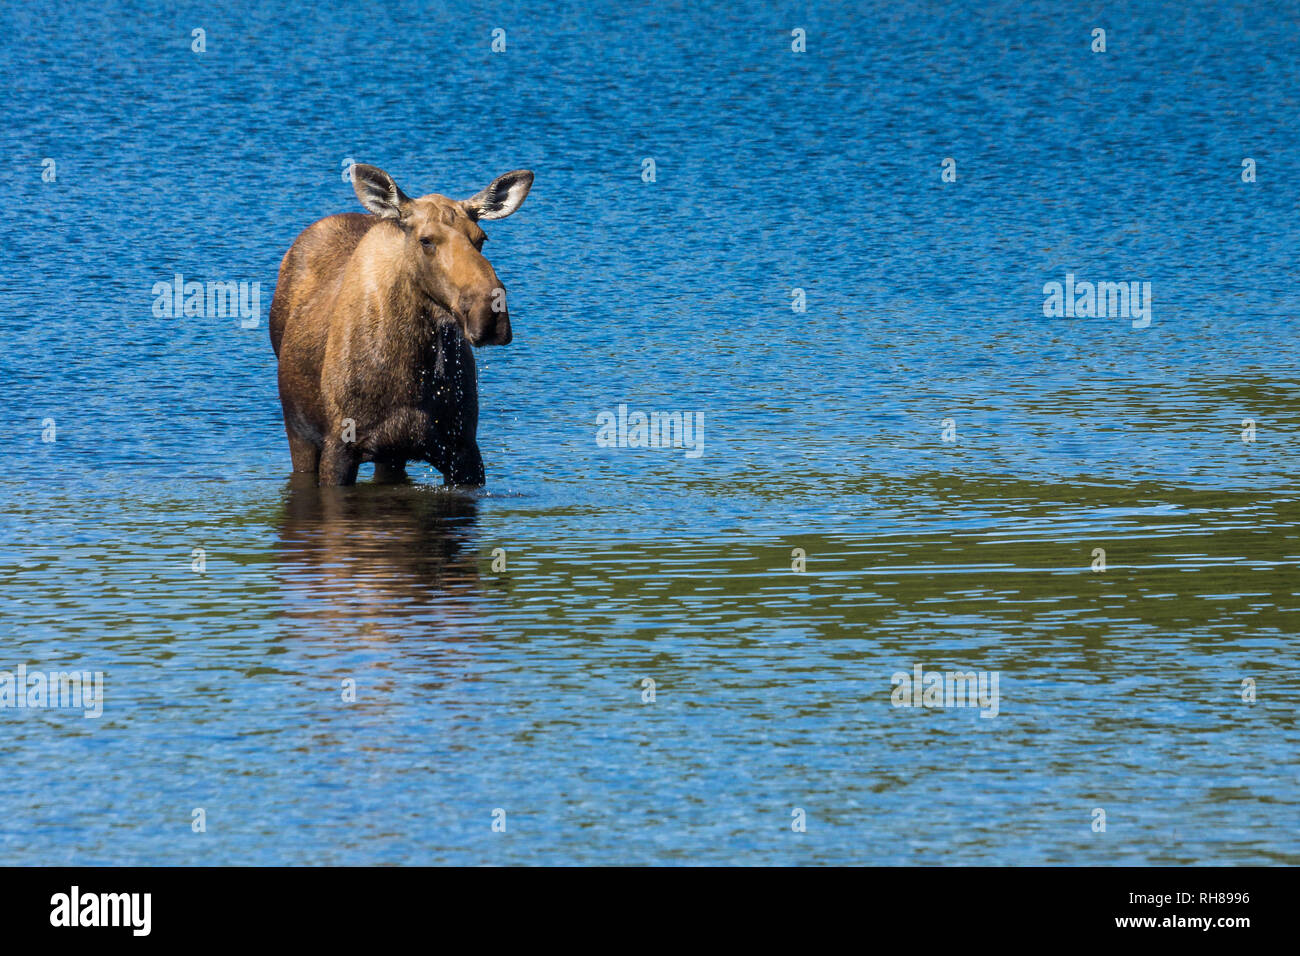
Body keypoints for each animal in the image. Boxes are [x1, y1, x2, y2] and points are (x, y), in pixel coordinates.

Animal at [269, 163, 533, 486]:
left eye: (481, 238)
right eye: (426, 240)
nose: (489, 312)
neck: (411, 371)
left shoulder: (463, 450)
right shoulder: (338, 448)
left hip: (391, 454)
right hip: (299, 435)